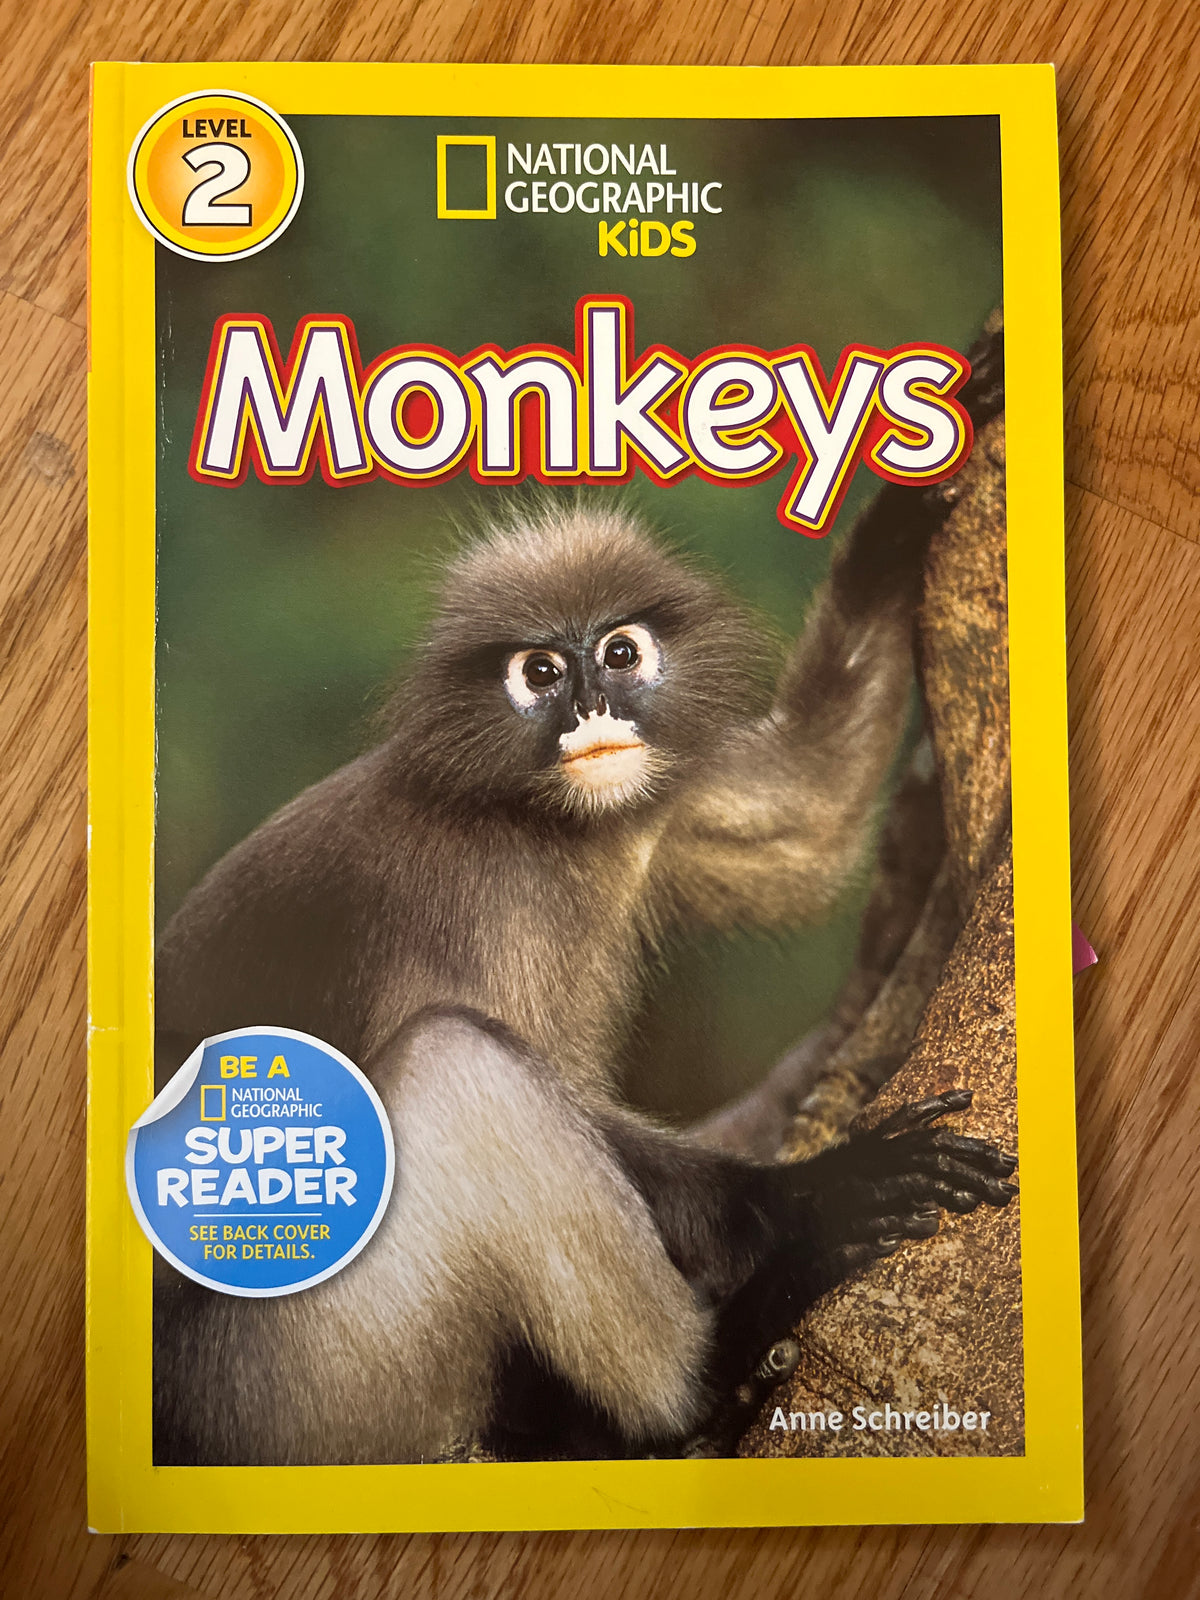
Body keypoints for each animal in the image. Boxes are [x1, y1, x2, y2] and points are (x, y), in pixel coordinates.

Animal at [151, 331, 1015, 1465]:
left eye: (618, 653)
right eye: (540, 671)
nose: (593, 709)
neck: (545, 826)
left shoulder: (654, 801)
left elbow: (808, 815)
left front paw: (903, 507)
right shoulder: (474, 905)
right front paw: (803, 1201)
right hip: (301, 1395)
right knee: (458, 1067)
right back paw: (700, 1379)